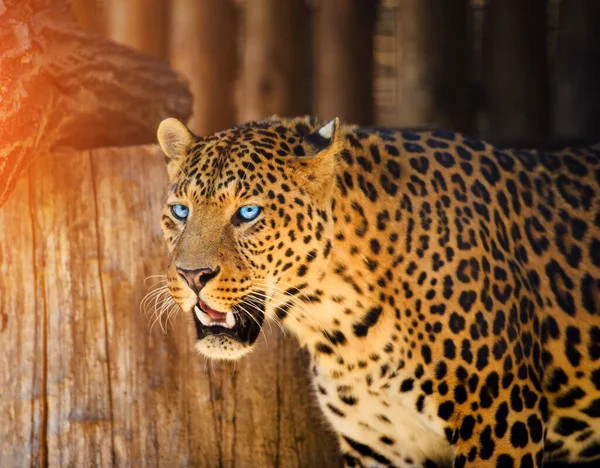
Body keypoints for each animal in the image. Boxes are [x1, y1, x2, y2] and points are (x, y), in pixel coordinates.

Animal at [156, 114, 600, 468]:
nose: (192, 276)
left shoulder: (501, 423)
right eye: (181, 211)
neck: (344, 327)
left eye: (248, 212)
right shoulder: (379, 445)